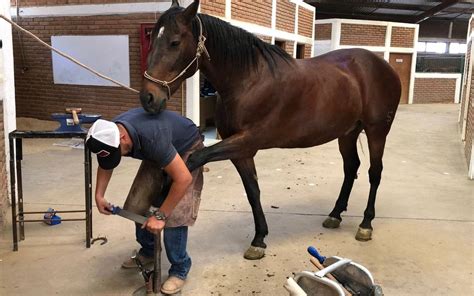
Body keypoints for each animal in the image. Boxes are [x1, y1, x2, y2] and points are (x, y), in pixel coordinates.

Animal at [140, 0, 400, 260]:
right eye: (151, 40)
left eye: (175, 42)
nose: (148, 98)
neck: (248, 80)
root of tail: (384, 67)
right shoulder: (241, 151)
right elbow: (253, 191)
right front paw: (259, 239)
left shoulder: (246, 141)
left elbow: (194, 157)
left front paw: (163, 196)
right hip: (347, 133)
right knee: (351, 168)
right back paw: (335, 214)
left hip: (377, 131)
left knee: (374, 172)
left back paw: (365, 224)